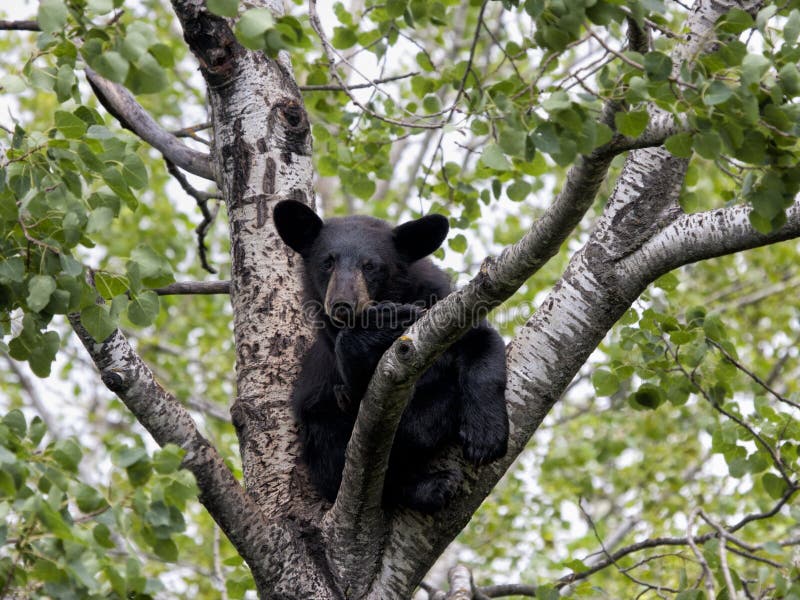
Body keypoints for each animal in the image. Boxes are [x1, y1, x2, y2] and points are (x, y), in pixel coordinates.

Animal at [270, 200, 506, 510]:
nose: (343, 304)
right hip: (316, 422)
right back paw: (432, 485)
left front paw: (485, 436)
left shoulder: (444, 307)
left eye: (370, 265)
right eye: (327, 262)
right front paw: (383, 322)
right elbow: (366, 396)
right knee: (336, 463)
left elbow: (482, 345)